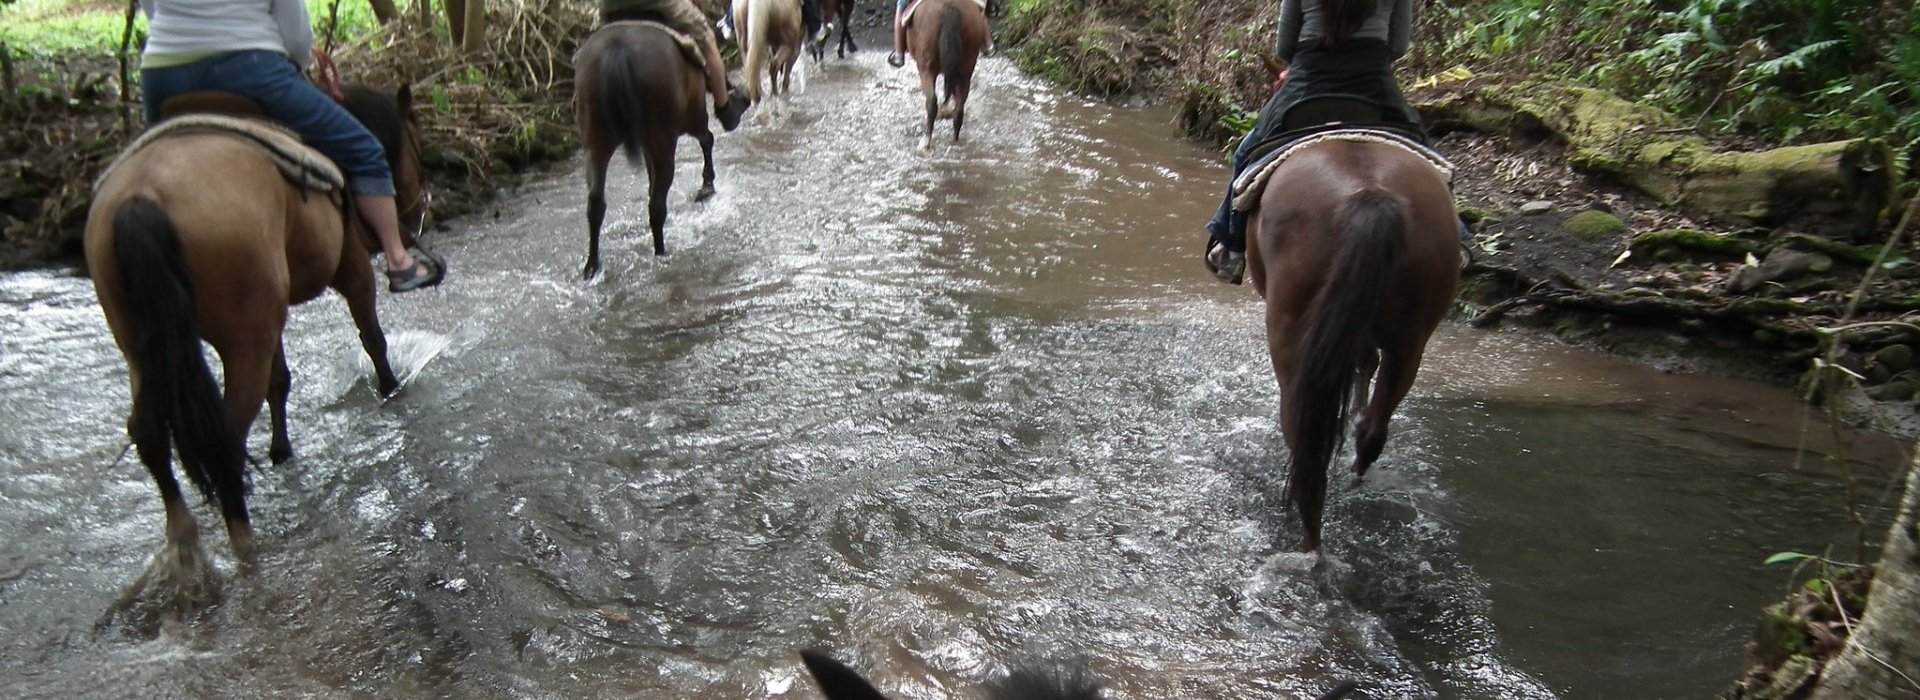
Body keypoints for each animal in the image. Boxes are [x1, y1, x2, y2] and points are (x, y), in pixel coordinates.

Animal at [87, 84, 432, 571]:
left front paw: (281, 451)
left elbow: (281, 380)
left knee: (149, 434)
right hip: (243, 340)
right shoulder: (350, 267)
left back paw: (184, 539)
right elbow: (372, 337)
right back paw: (246, 544)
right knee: (226, 436)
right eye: (417, 146)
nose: (423, 211)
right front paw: (390, 388)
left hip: (146, 347)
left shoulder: (273, 316)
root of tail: (144, 196)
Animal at [572, 19, 721, 276]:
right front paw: (707, 185)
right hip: (664, 139)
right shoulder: (693, 117)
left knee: (596, 203)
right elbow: (707, 139)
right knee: (657, 206)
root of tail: (618, 48)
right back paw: (660, 252)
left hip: (596, 144)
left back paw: (592, 266)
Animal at [902, 0, 990, 145]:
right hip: (966, 70)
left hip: (927, 69)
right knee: (959, 106)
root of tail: (950, 7)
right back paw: (955, 139)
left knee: (932, 101)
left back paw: (926, 141)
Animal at [1244, 103, 1451, 552]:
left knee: (1303, 434)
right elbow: (1364, 364)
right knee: (1372, 428)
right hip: (1410, 339)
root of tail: (1367, 195)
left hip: (1291, 331)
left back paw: (1307, 536)